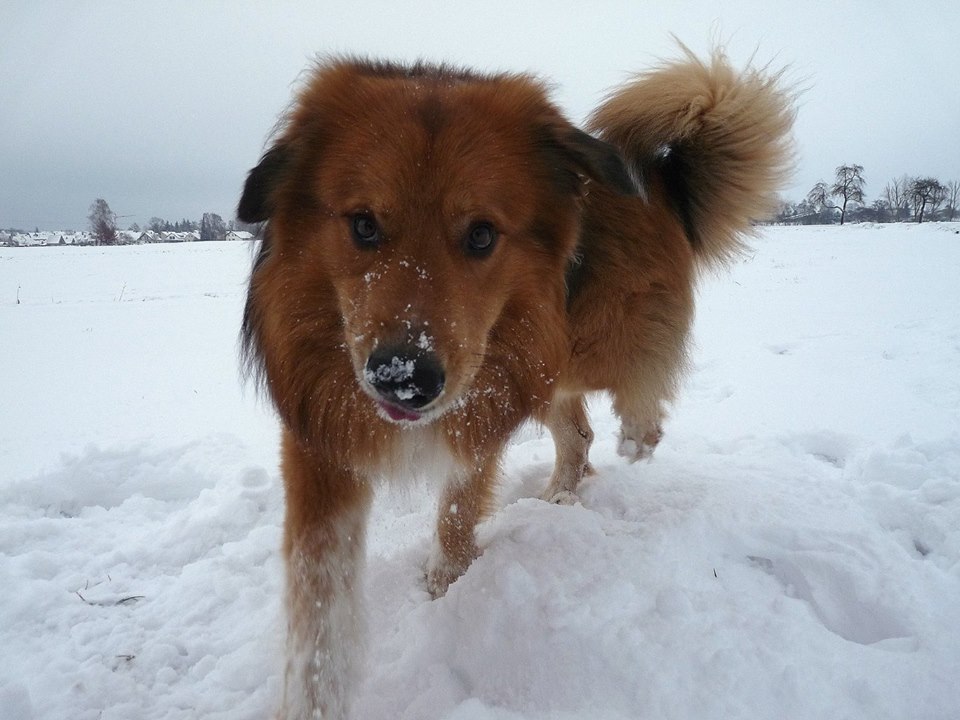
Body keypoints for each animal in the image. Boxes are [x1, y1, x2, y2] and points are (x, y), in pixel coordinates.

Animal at [236, 47, 792, 716]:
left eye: (482, 234)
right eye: (363, 225)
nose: (403, 379)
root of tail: (658, 179)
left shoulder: (482, 403)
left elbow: (456, 512)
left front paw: (447, 585)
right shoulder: (321, 441)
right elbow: (319, 605)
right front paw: (313, 696)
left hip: (577, 344)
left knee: (641, 378)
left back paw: (638, 433)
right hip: (543, 364)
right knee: (578, 433)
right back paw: (561, 494)